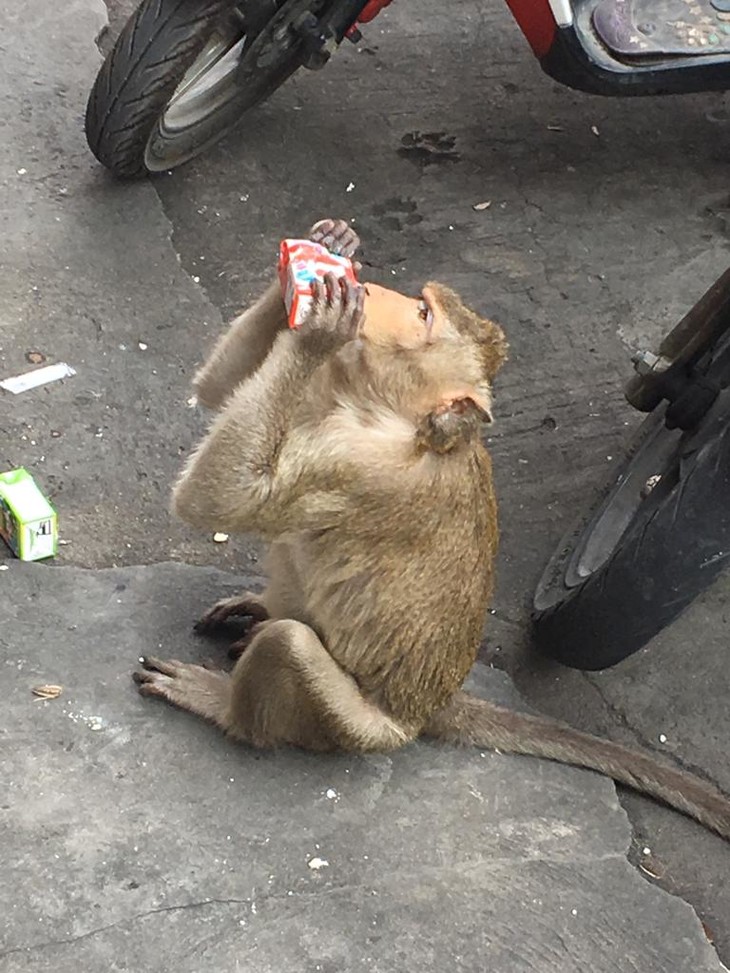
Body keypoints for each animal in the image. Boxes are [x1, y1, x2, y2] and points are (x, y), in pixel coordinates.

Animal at [132, 216, 728, 840]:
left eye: (421, 314)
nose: (372, 291)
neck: (389, 413)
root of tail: (428, 707)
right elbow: (220, 393)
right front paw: (325, 253)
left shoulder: (358, 467)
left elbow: (220, 500)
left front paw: (317, 328)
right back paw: (262, 610)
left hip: (356, 729)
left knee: (289, 645)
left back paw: (226, 706)